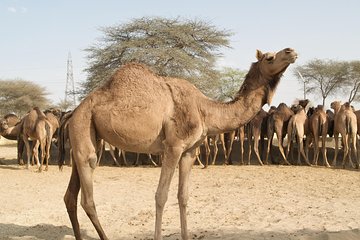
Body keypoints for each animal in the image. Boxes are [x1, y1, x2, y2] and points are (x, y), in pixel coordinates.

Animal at [58, 47, 296, 240]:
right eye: (269, 57)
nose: (291, 51)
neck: (204, 109)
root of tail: (72, 112)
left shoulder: (189, 151)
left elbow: (183, 196)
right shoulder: (173, 147)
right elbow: (161, 196)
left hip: (86, 138)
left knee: (70, 196)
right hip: (84, 128)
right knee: (87, 197)